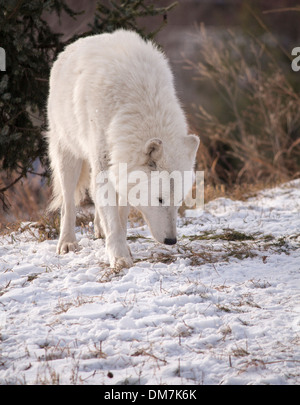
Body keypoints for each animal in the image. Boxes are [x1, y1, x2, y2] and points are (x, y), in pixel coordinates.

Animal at [47, 30, 199, 270]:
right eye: (160, 199)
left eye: (179, 202)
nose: (171, 241)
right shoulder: (105, 164)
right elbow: (112, 218)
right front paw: (119, 257)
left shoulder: (123, 168)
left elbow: (119, 215)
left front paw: (122, 247)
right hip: (68, 154)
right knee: (68, 203)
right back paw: (67, 242)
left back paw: (99, 229)